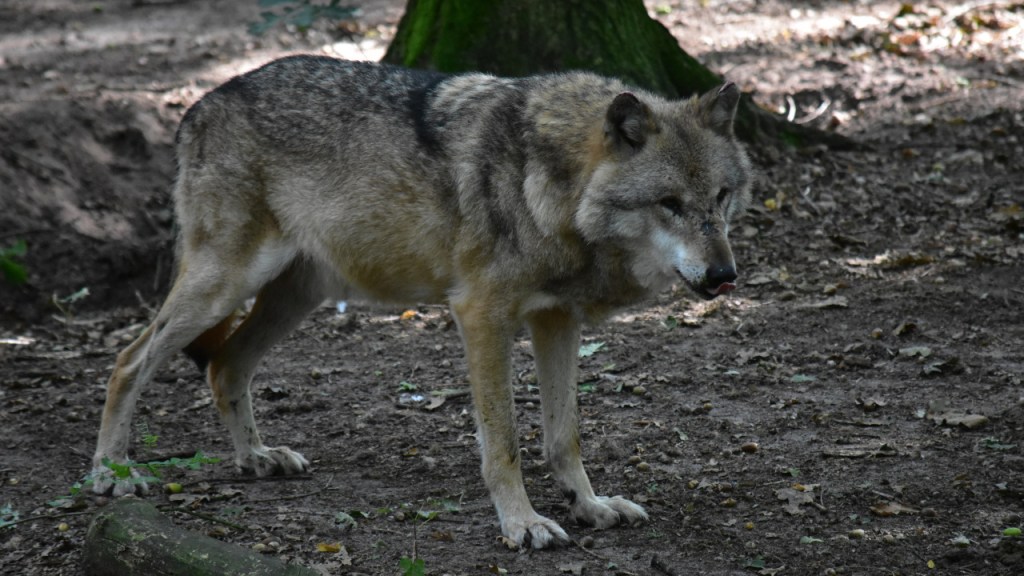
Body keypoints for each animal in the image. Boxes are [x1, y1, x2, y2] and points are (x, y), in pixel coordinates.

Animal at [91, 55, 753, 549]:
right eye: (669, 203)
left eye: (722, 196)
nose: (725, 275)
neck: (551, 184)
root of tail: (201, 104)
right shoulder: (482, 315)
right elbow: (505, 441)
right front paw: (522, 524)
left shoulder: (556, 319)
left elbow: (565, 434)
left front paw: (589, 506)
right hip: (224, 284)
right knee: (127, 361)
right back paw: (112, 474)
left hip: (296, 297)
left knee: (226, 365)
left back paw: (255, 458)